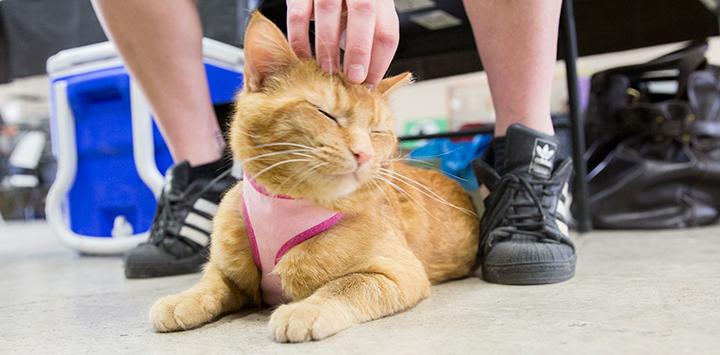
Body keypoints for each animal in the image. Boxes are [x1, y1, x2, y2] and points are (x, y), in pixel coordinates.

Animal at [150, 12, 478, 344]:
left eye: (376, 130)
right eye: (325, 114)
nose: (364, 153)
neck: (284, 202)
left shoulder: (398, 271)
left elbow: (345, 286)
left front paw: (306, 309)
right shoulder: (230, 272)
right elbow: (211, 282)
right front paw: (185, 298)